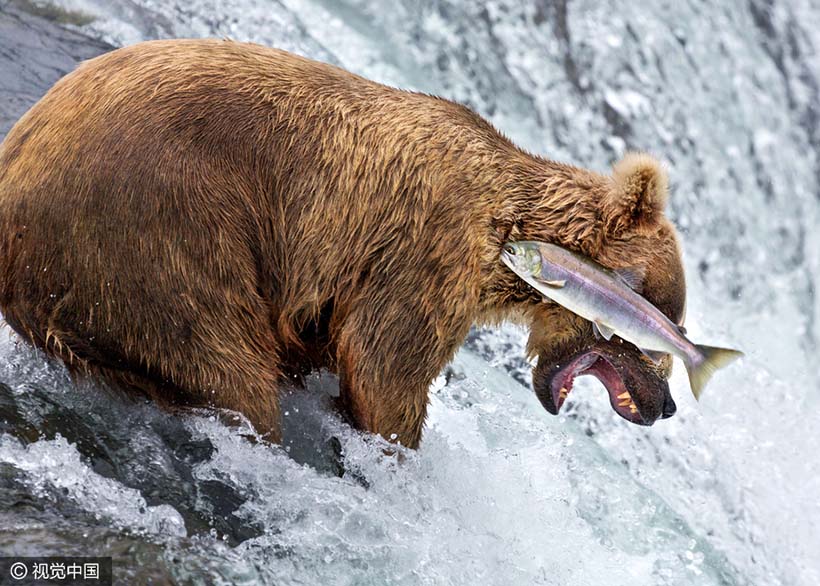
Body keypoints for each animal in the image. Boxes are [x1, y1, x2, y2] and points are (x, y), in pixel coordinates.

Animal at [0, 38, 684, 444]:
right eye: (662, 321)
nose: (666, 404)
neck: (507, 230)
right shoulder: (425, 249)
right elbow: (385, 365)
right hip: (162, 226)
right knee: (226, 363)